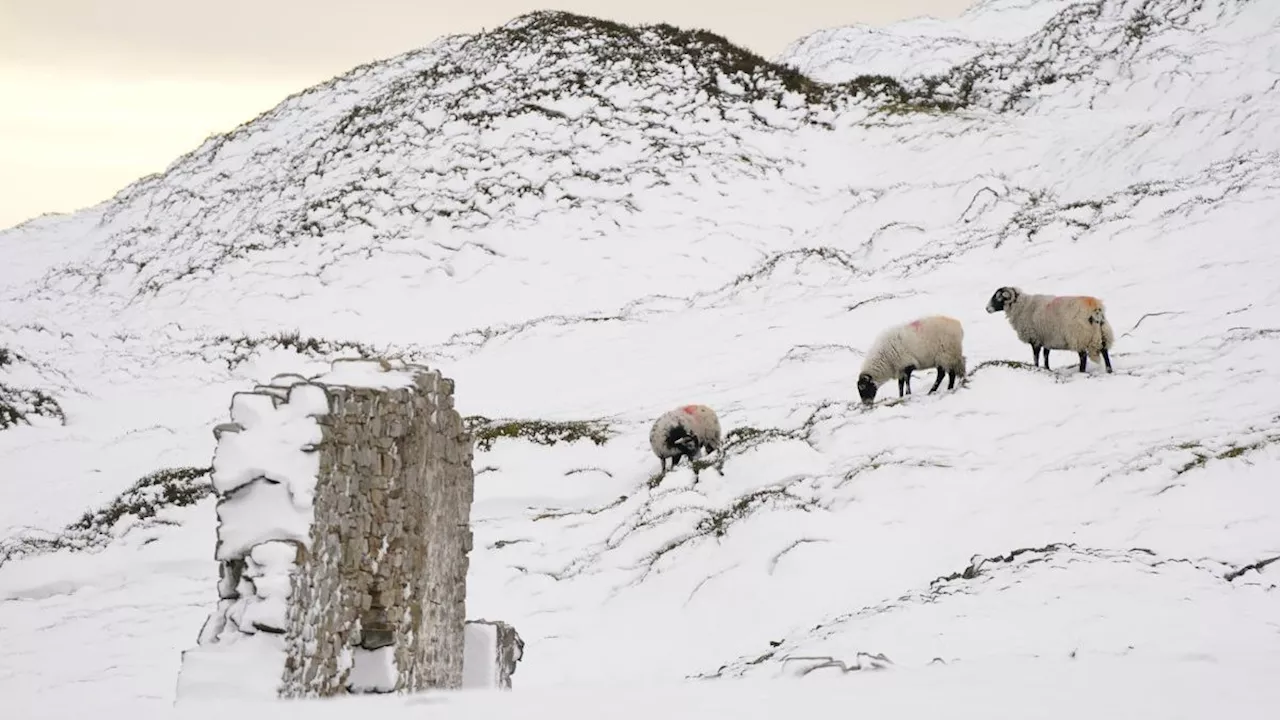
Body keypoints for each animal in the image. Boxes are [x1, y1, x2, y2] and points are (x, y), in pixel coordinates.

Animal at [983, 285, 1116, 371]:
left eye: (998, 297)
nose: (987, 309)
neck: (1023, 306)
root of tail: (1095, 308)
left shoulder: (1035, 339)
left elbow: (1036, 356)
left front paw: (1037, 368)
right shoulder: (1047, 339)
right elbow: (1046, 356)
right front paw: (1047, 369)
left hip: (1079, 336)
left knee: (1083, 356)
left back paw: (1081, 371)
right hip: (1103, 334)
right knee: (1105, 352)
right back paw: (1109, 370)